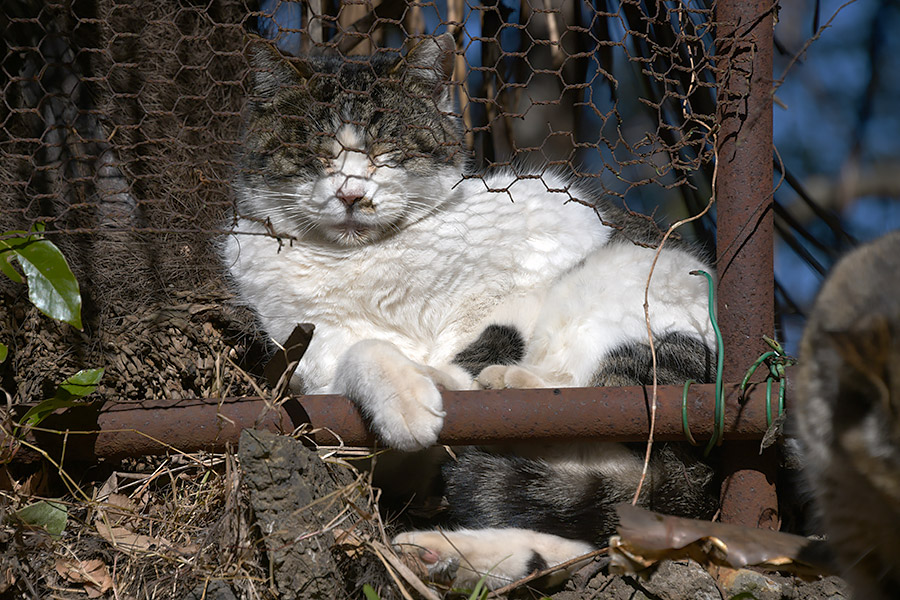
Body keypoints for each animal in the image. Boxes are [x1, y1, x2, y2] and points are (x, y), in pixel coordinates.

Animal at [223, 35, 716, 588]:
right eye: (318, 154)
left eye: (386, 152)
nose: (351, 195)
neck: (369, 264)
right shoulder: (309, 362)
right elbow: (362, 353)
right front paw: (405, 395)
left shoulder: (549, 225)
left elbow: (487, 336)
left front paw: (441, 382)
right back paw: (450, 553)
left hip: (634, 293)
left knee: (615, 428)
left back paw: (509, 386)